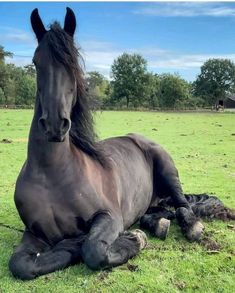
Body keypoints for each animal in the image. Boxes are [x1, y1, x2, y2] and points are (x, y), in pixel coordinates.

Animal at [8, 8, 233, 280]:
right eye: (35, 62)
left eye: (73, 64)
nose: (54, 124)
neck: (52, 174)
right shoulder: (32, 232)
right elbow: (21, 264)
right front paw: (72, 245)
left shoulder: (110, 217)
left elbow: (93, 248)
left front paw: (134, 240)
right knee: (159, 212)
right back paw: (157, 224)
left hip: (167, 170)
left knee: (183, 205)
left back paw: (190, 227)